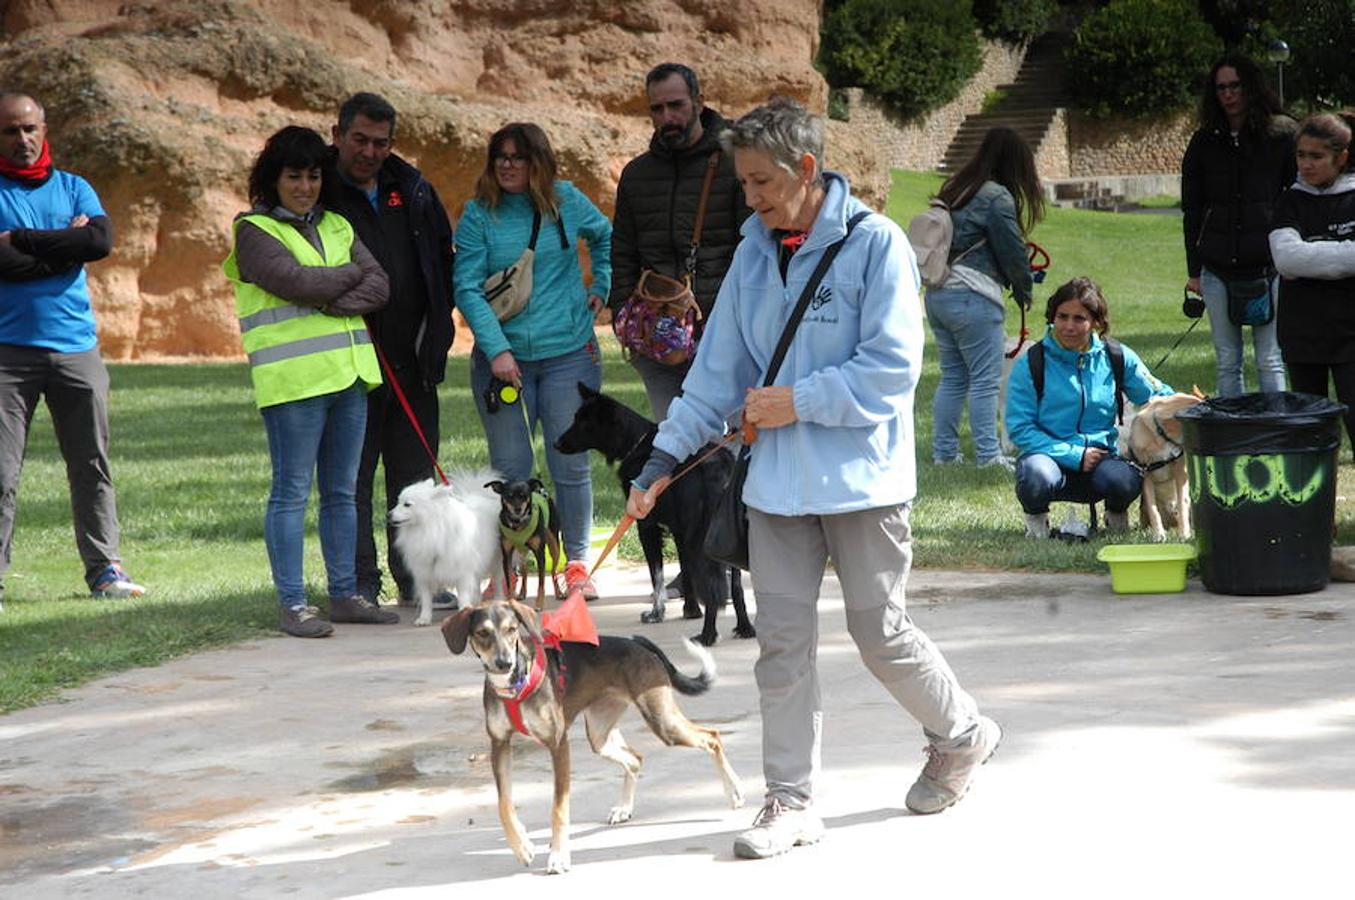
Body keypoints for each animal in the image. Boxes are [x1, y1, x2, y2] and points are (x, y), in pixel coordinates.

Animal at [387, 471, 504, 626]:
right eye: (398, 502)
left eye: (407, 504)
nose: (388, 515)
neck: (428, 529)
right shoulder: (424, 574)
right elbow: (426, 600)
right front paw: (424, 618)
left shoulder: (463, 574)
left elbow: (463, 598)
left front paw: (463, 614)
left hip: (495, 561)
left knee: (497, 582)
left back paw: (497, 601)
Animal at [485, 477, 563, 612]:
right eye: (509, 496)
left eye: (524, 496)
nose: (518, 509)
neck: (518, 525)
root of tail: (541, 492)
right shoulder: (506, 555)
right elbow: (509, 582)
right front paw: (511, 601)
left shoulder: (540, 555)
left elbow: (541, 583)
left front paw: (539, 604)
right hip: (521, 552)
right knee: (525, 570)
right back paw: (522, 593)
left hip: (554, 546)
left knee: (553, 572)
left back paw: (558, 592)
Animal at [555, 382, 758, 642]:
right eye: (575, 418)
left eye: (583, 423)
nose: (556, 444)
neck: (637, 442)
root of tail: (717, 466)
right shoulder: (680, 531)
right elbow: (686, 572)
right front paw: (691, 610)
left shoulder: (646, 525)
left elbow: (657, 576)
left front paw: (657, 613)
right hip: (725, 536)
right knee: (736, 586)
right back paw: (745, 627)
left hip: (700, 537)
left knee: (713, 586)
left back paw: (707, 635)